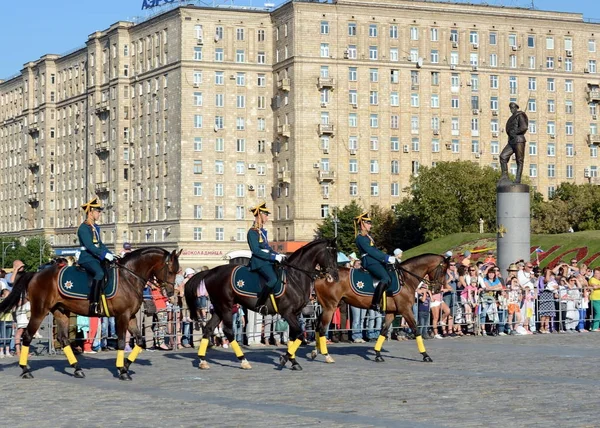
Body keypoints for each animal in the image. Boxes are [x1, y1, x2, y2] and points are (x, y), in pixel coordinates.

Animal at [0, 247, 180, 382]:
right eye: (171, 270)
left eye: (177, 271)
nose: (171, 292)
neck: (128, 277)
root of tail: (35, 274)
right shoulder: (122, 316)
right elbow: (122, 342)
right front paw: (122, 370)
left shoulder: (131, 316)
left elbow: (140, 341)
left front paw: (126, 366)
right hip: (39, 311)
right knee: (27, 336)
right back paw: (25, 370)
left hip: (61, 311)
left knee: (63, 339)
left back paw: (77, 369)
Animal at [184, 237, 338, 372]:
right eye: (331, 253)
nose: (335, 276)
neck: (295, 277)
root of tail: (210, 271)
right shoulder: (287, 313)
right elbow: (300, 335)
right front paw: (284, 359)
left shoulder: (294, 313)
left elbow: (293, 337)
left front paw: (293, 361)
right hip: (226, 307)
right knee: (228, 331)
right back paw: (243, 360)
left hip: (218, 308)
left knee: (208, 329)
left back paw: (202, 360)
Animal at [312, 254, 448, 364]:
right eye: (443, 271)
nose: (437, 289)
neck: (406, 278)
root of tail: (321, 275)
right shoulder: (406, 310)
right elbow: (416, 330)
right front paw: (426, 355)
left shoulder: (391, 312)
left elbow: (383, 331)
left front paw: (378, 355)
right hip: (330, 307)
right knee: (322, 329)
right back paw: (327, 356)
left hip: (327, 307)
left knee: (317, 326)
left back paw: (315, 352)